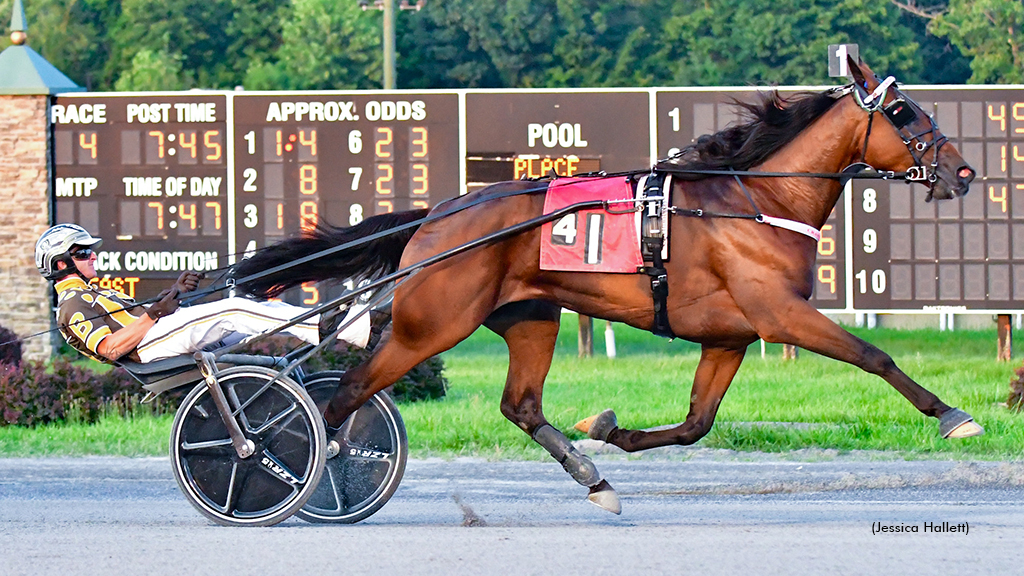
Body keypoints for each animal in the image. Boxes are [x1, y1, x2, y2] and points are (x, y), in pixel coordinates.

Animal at [235, 59, 978, 510]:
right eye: (905, 113)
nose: (965, 172)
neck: (757, 201)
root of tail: (439, 213)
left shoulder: (729, 336)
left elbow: (696, 424)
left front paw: (608, 429)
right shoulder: (778, 313)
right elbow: (874, 354)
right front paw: (953, 416)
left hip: (531, 316)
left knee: (521, 406)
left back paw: (596, 480)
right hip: (433, 323)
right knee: (347, 393)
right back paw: (297, 474)